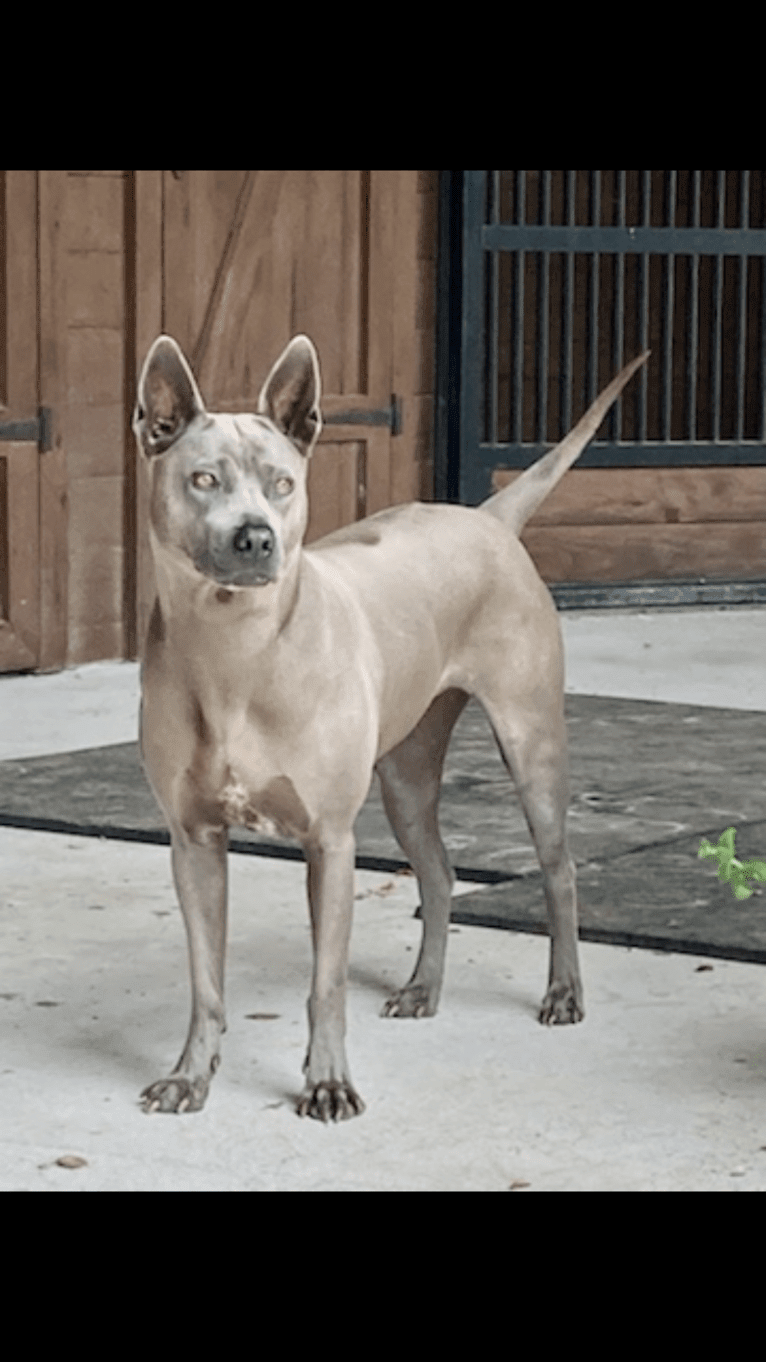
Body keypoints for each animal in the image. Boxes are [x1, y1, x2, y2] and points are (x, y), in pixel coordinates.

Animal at [130, 335, 643, 1122]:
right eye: (203, 479)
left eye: (282, 483)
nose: (256, 539)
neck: (235, 654)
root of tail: (488, 517)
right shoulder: (193, 842)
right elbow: (206, 982)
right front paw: (191, 1076)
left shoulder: (330, 842)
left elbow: (327, 983)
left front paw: (327, 1083)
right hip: (405, 776)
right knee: (438, 872)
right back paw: (425, 986)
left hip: (531, 742)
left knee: (558, 868)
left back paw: (563, 992)